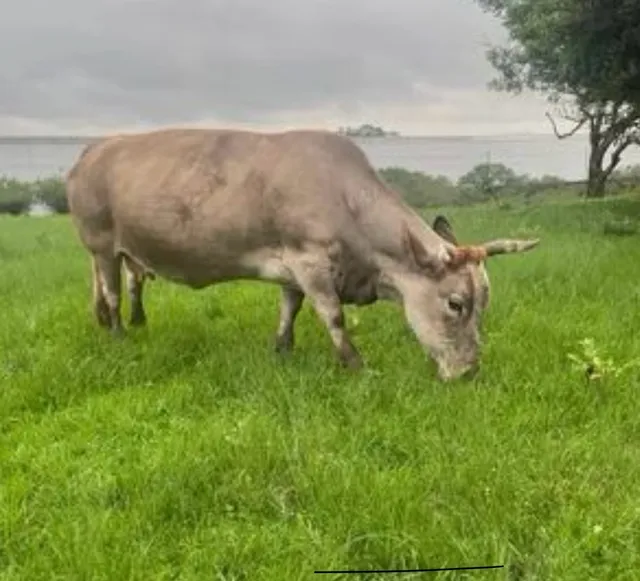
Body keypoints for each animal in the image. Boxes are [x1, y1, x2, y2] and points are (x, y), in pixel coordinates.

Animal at [65, 128, 539, 380]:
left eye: (484, 303)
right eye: (455, 303)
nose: (470, 371)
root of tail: (94, 149)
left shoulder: (293, 269)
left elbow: (288, 308)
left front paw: (282, 349)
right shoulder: (310, 262)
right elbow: (333, 316)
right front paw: (355, 365)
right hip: (102, 244)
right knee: (112, 291)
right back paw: (119, 335)